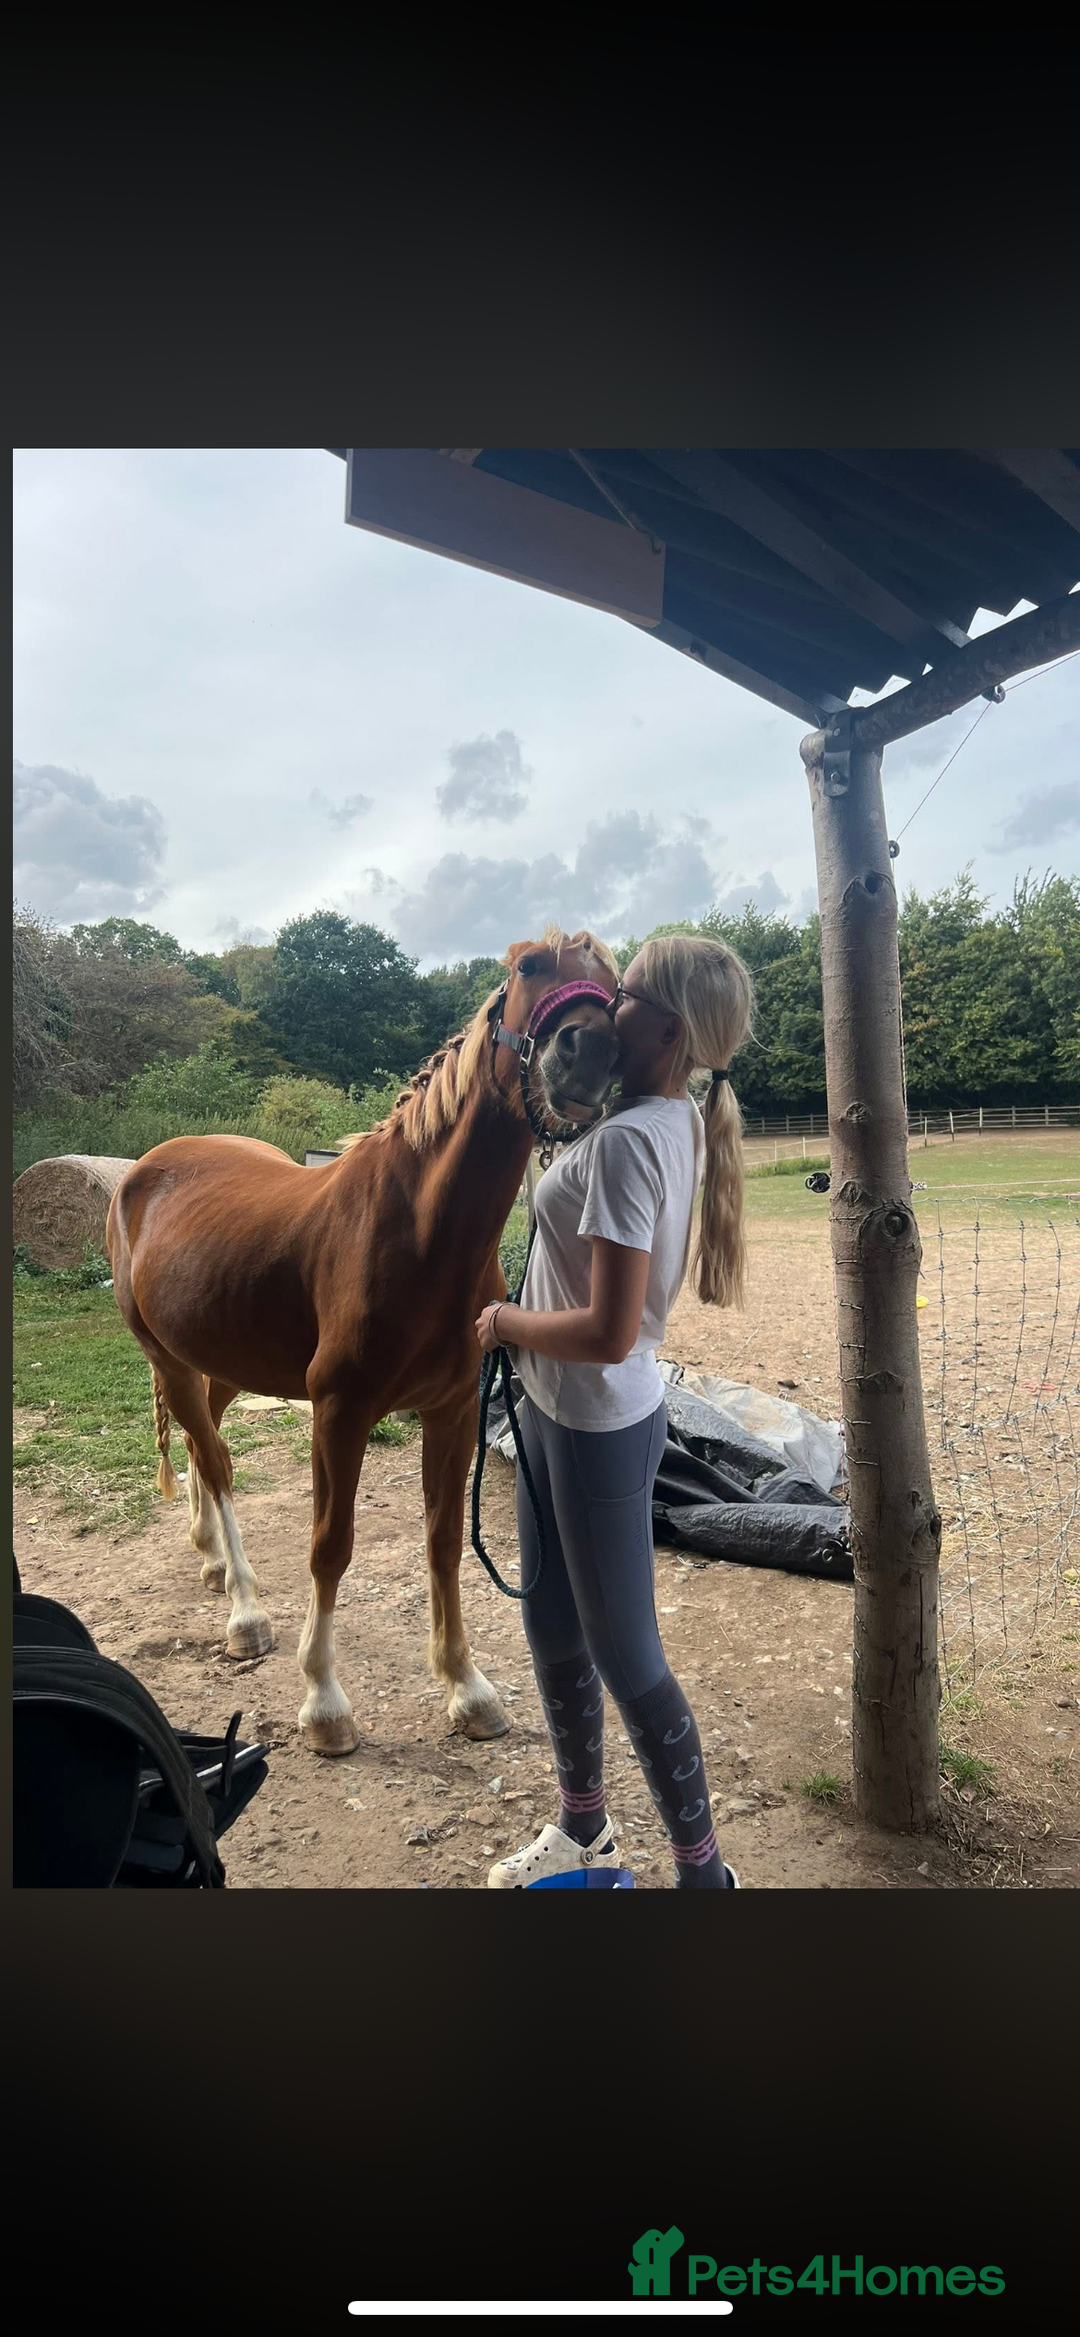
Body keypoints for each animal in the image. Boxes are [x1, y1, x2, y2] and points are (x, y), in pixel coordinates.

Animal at [106, 928, 621, 1755]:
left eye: (618, 985)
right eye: (527, 967)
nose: (591, 1049)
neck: (419, 1232)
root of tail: (141, 1172)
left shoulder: (451, 1412)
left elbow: (444, 1541)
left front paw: (466, 1686)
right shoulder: (339, 1412)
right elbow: (330, 1544)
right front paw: (324, 1700)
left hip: (219, 1360)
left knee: (199, 1441)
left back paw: (214, 1561)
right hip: (170, 1358)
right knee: (214, 1461)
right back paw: (245, 1608)